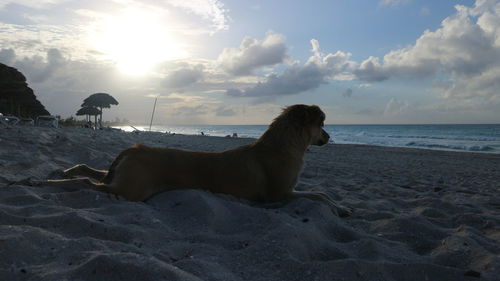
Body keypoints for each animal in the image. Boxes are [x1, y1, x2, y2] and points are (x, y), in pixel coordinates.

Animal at [49, 104, 348, 215]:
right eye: (321, 124)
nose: (330, 137)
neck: (284, 145)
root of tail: (135, 147)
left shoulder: (286, 192)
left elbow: (320, 192)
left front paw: (338, 205)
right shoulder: (279, 195)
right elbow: (318, 195)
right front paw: (338, 207)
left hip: (121, 176)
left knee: (92, 170)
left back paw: (67, 170)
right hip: (129, 189)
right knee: (90, 182)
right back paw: (55, 181)